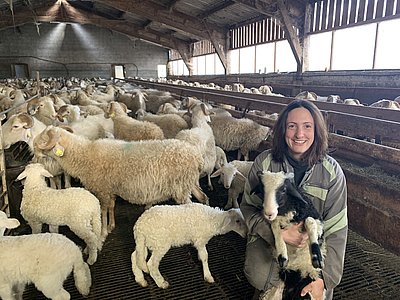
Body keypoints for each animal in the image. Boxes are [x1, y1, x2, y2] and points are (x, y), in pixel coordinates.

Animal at [33, 125, 209, 233]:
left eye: (42, 141)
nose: (33, 156)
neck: (85, 156)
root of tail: (197, 157)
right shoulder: (110, 189)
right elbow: (111, 207)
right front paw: (111, 226)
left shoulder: (102, 190)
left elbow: (103, 210)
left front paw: (103, 231)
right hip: (188, 184)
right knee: (203, 198)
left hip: (181, 188)